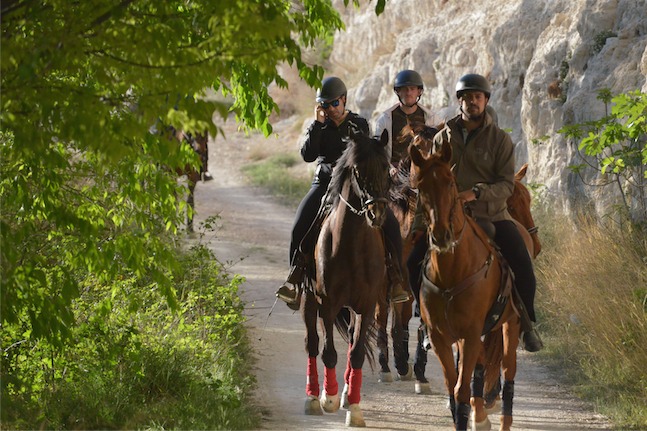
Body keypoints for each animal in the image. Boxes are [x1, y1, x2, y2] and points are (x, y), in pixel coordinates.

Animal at [302, 126, 390, 426]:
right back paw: (313, 398)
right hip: (309, 300)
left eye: (387, 168)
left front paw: (354, 407)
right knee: (312, 343)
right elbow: (329, 352)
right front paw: (328, 397)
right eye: (359, 172)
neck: (351, 245)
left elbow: (357, 352)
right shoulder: (327, 303)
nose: (377, 213)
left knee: (351, 340)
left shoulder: (366, 305)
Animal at [410, 132, 532, 431]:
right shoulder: (440, 337)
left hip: (511, 325)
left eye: (450, 183)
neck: (452, 271)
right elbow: (453, 387)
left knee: (508, 371)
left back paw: (503, 419)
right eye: (420, 187)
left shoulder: (470, 334)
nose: (441, 234)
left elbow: (462, 389)